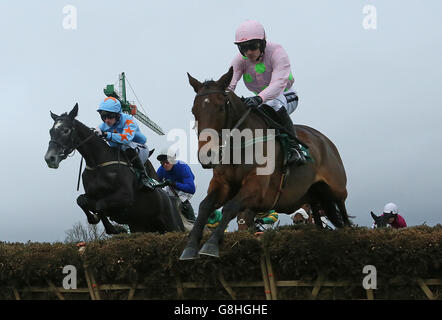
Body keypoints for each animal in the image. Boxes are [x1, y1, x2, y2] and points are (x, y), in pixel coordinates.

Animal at [43, 104, 185, 234]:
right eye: (51, 131)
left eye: (66, 130)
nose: (49, 158)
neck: (98, 163)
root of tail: (170, 198)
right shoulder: (92, 195)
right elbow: (81, 200)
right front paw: (95, 218)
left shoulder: (125, 196)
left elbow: (99, 205)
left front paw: (115, 228)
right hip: (141, 227)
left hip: (172, 226)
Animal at [180, 67, 352, 260]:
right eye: (194, 111)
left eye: (220, 107)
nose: (207, 156)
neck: (240, 145)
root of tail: (325, 141)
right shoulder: (222, 183)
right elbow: (204, 206)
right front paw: (190, 246)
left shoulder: (258, 186)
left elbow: (231, 207)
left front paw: (211, 245)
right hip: (313, 195)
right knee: (318, 214)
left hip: (337, 189)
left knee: (344, 214)